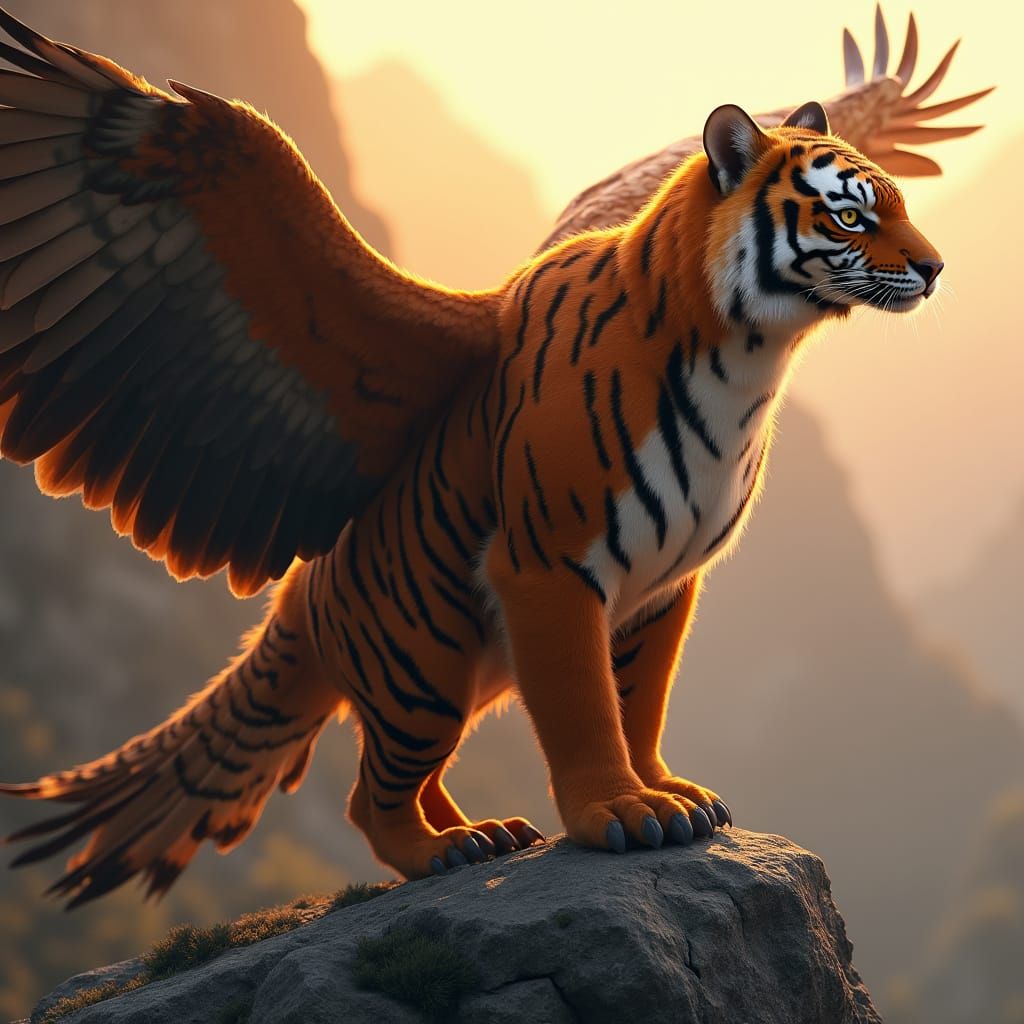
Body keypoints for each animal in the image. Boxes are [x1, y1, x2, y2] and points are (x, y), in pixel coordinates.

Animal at [0, 10, 946, 906]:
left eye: (896, 203)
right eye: (851, 214)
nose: (937, 268)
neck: (745, 356)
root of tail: (297, 598)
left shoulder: (665, 585)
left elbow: (639, 700)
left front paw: (662, 788)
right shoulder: (547, 569)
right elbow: (583, 706)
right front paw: (621, 812)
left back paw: (480, 833)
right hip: (425, 664)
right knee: (370, 797)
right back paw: (442, 850)